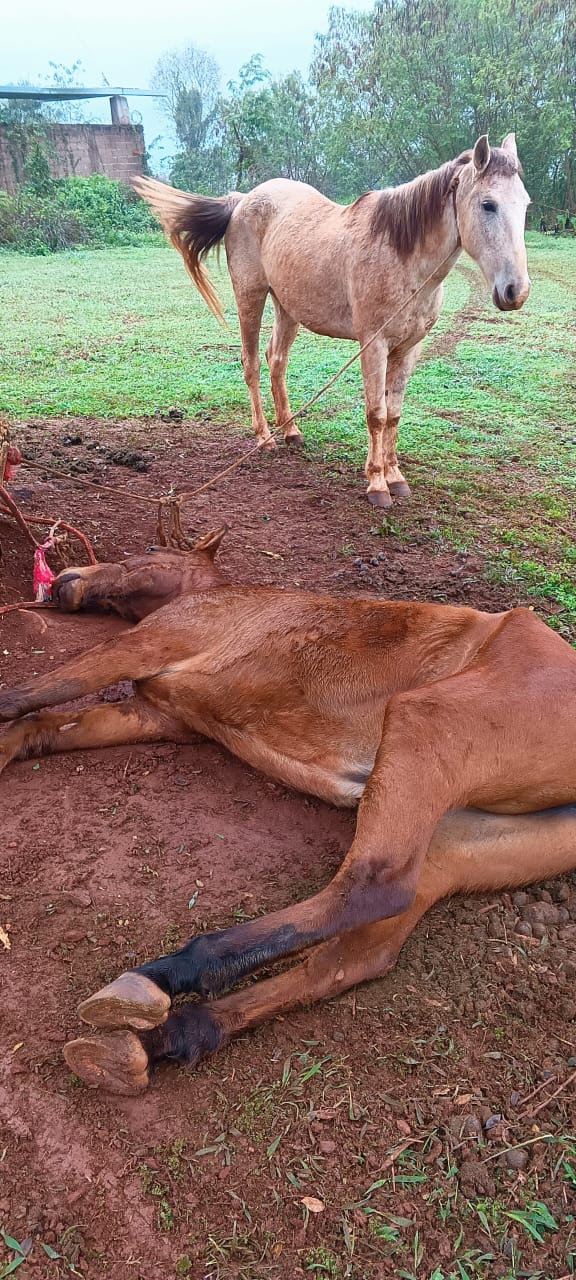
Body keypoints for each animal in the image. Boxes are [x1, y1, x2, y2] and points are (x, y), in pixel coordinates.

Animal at [1, 528, 575, 1096]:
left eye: (148, 551)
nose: (65, 580)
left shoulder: (141, 646)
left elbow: (21, 697)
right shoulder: (154, 716)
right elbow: (40, 724)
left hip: (421, 722)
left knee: (373, 887)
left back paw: (166, 977)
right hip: (452, 840)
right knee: (352, 956)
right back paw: (159, 1038)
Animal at [133, 134, 531, 507]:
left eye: (525, 204)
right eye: (488, 204)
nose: (516, 291)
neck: (402, 257)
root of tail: (243, 200)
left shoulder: (409, 348)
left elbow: (395, 413)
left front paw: (396, 477)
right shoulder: (374, 345)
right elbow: (377, 413)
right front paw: (377, 484)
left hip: (288, 307)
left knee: (276, 360)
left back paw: (290, 431)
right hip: (251, 297)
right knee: (251, 363)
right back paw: (264, 437)